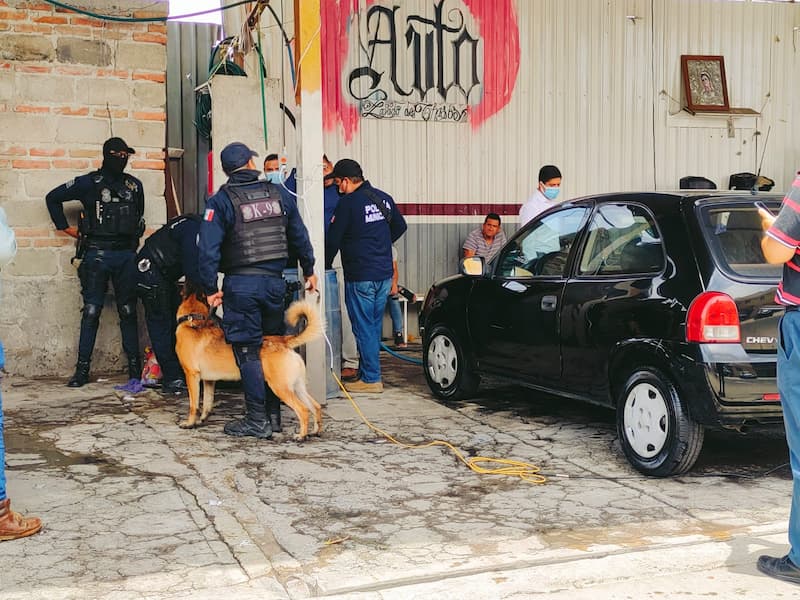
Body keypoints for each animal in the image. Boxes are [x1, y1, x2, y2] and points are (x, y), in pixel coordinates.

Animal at [177, 292, 324, 440]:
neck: (191, 321)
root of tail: (283, 341)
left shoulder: (191, 376)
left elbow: (193, 405)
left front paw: (190, 423)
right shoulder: (209, 381)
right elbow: (207, 403)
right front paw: (201, 420)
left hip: (281, 387)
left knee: (303, 409)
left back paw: (301, 436)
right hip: (297, 387)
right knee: (315, 406)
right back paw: (315, 431)